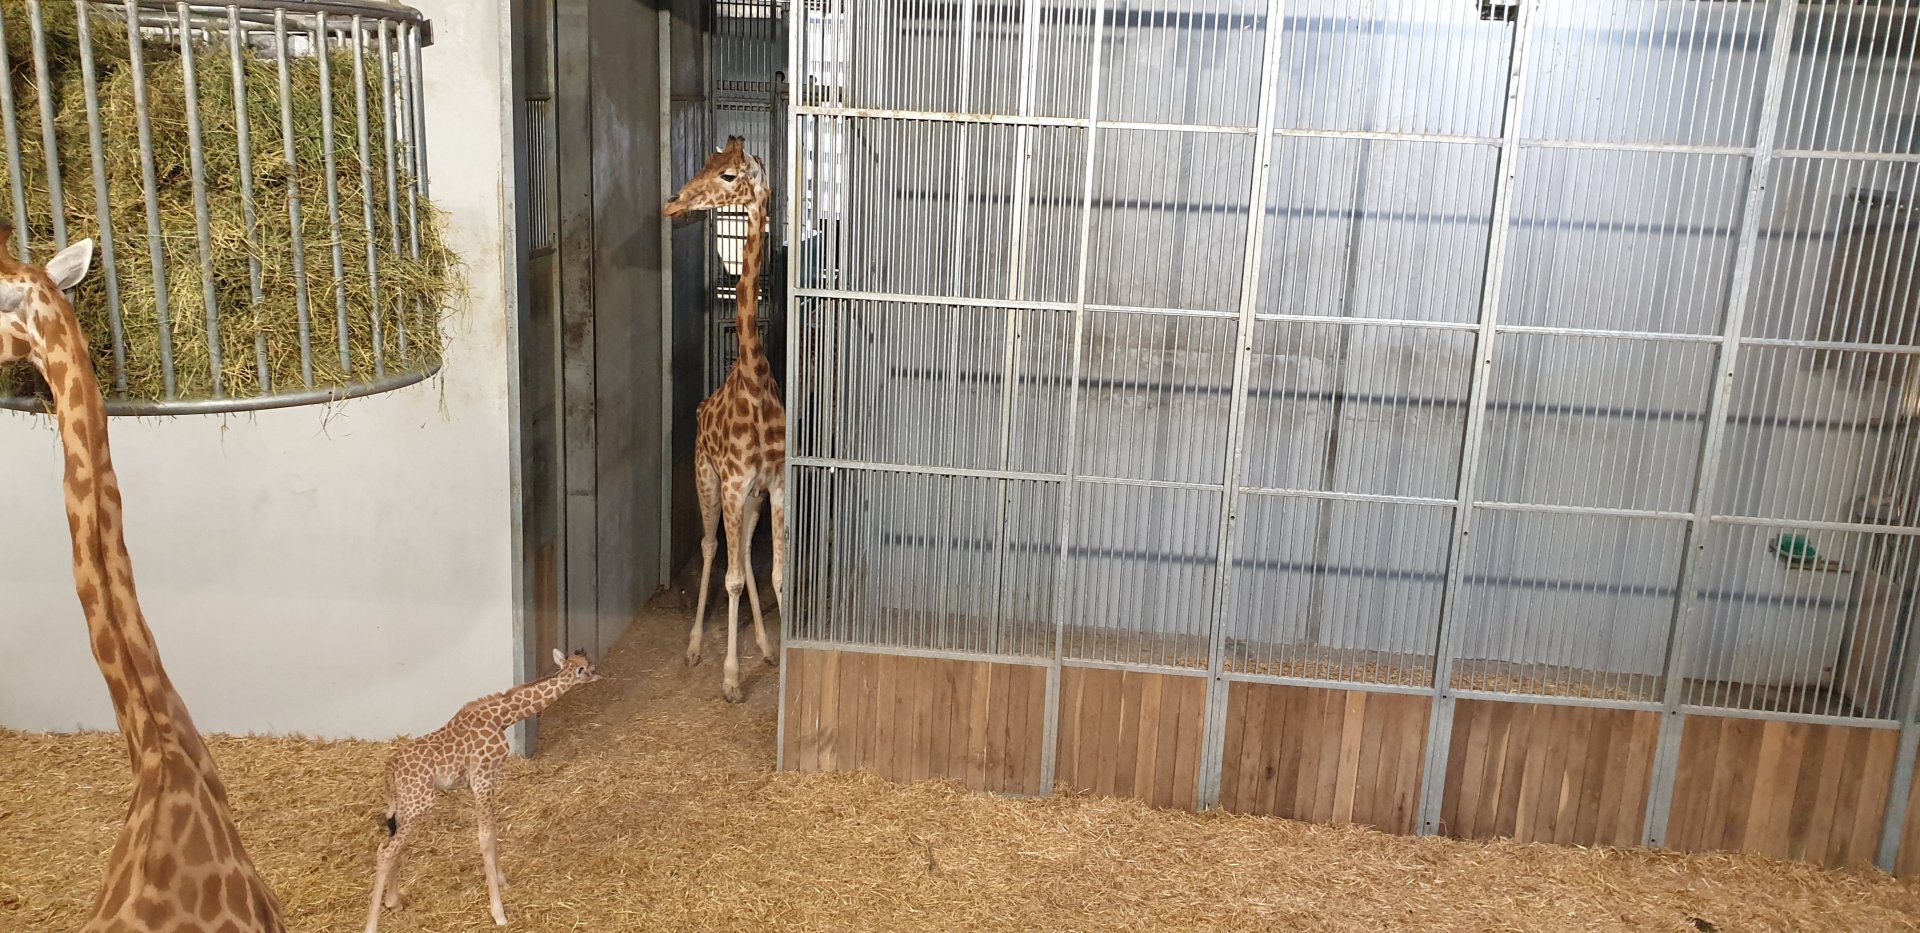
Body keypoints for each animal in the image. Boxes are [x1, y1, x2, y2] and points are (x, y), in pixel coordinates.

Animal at [364, 648, 602, 932]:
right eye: (584, 669)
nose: (598, 674)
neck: (502, 718)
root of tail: (389, 769)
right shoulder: (482, 777)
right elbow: (485, 838)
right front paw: (499, 914)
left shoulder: (488, 779)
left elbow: (494, 829)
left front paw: (503, 881)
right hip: (419, 802)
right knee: (386, 851)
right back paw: (372, 925)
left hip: (406, 804)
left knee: (390, 845)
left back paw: (394, 902)